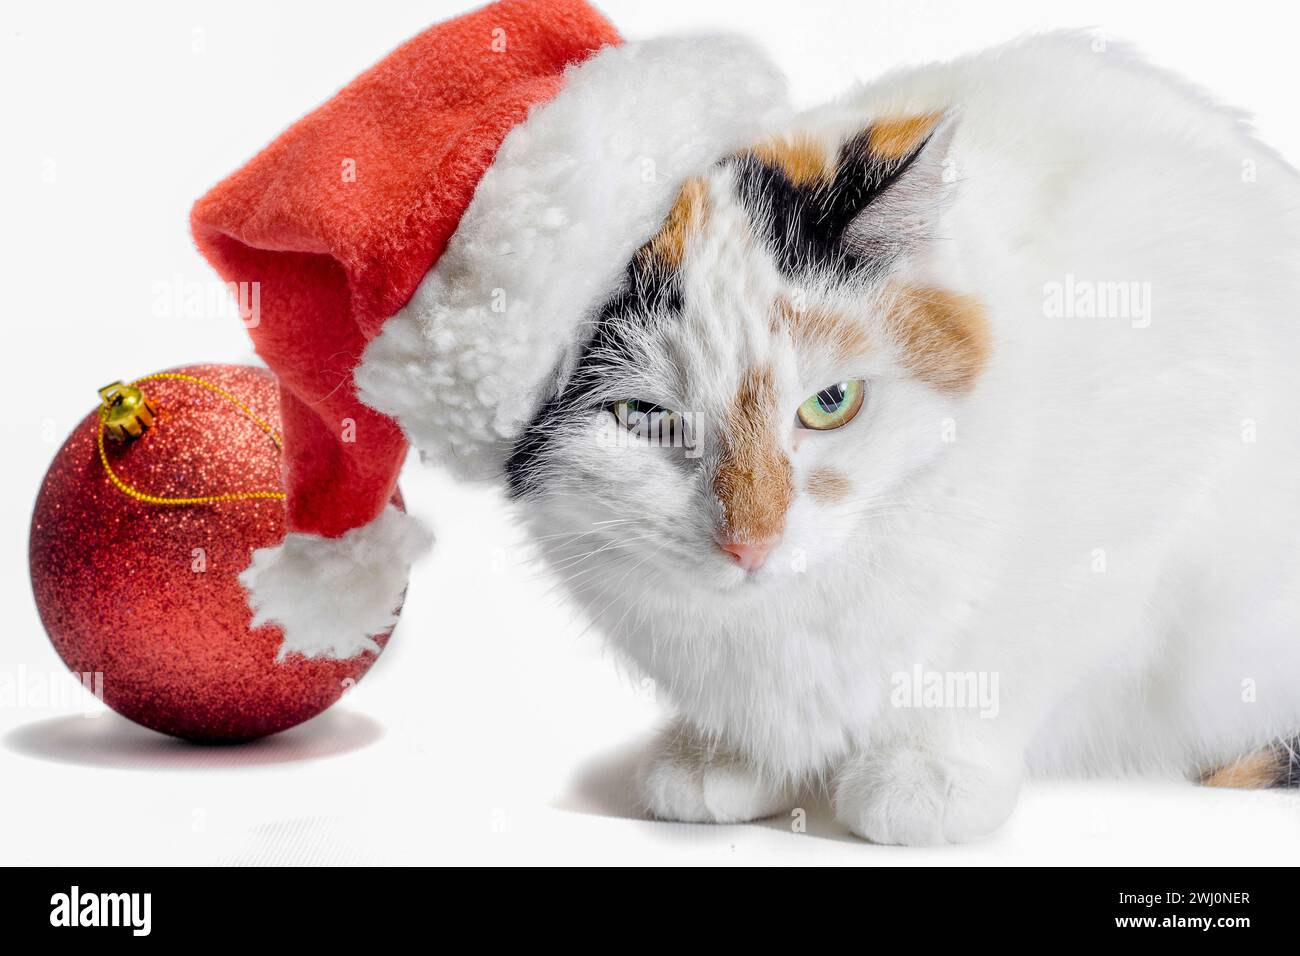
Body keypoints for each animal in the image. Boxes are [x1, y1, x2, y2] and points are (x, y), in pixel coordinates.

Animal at [499, 33, 1300, 842]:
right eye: (645, 415)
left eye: (830, 403)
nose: (752, 543)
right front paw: (721, 754)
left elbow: (1021, 649)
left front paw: (927, 770)